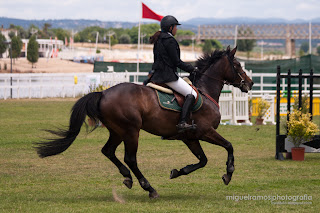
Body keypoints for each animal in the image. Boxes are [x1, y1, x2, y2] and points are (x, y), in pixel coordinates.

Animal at [35, 45, 254, 199]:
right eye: (237, 66)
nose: (250, 83)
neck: (206, 92)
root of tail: (103, 93)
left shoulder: (190, 138)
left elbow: (203, 160)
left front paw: (178, 172)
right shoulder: (205, 131)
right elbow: (229, 146)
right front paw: (228, 174)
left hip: (117, 131)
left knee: (108, 151)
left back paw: (127, 177)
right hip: (131, 131)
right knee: (130, 158)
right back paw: (149, 188)